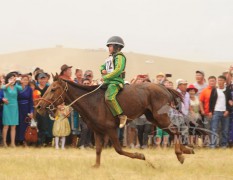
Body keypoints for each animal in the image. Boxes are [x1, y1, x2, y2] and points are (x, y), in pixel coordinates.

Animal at [36, 74, 194, 167]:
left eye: (53, 89)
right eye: (48, 87)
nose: (38, 106)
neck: (92, 101)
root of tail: (164, 87)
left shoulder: (111, 129)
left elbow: (119, 149)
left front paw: (141, 156)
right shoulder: (97, 131)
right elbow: (98, 149)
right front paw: (96, 166)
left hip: (160, 117)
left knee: (175, 130)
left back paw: (180, 154)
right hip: (154, 118)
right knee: (174, 131)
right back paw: (186, 150)